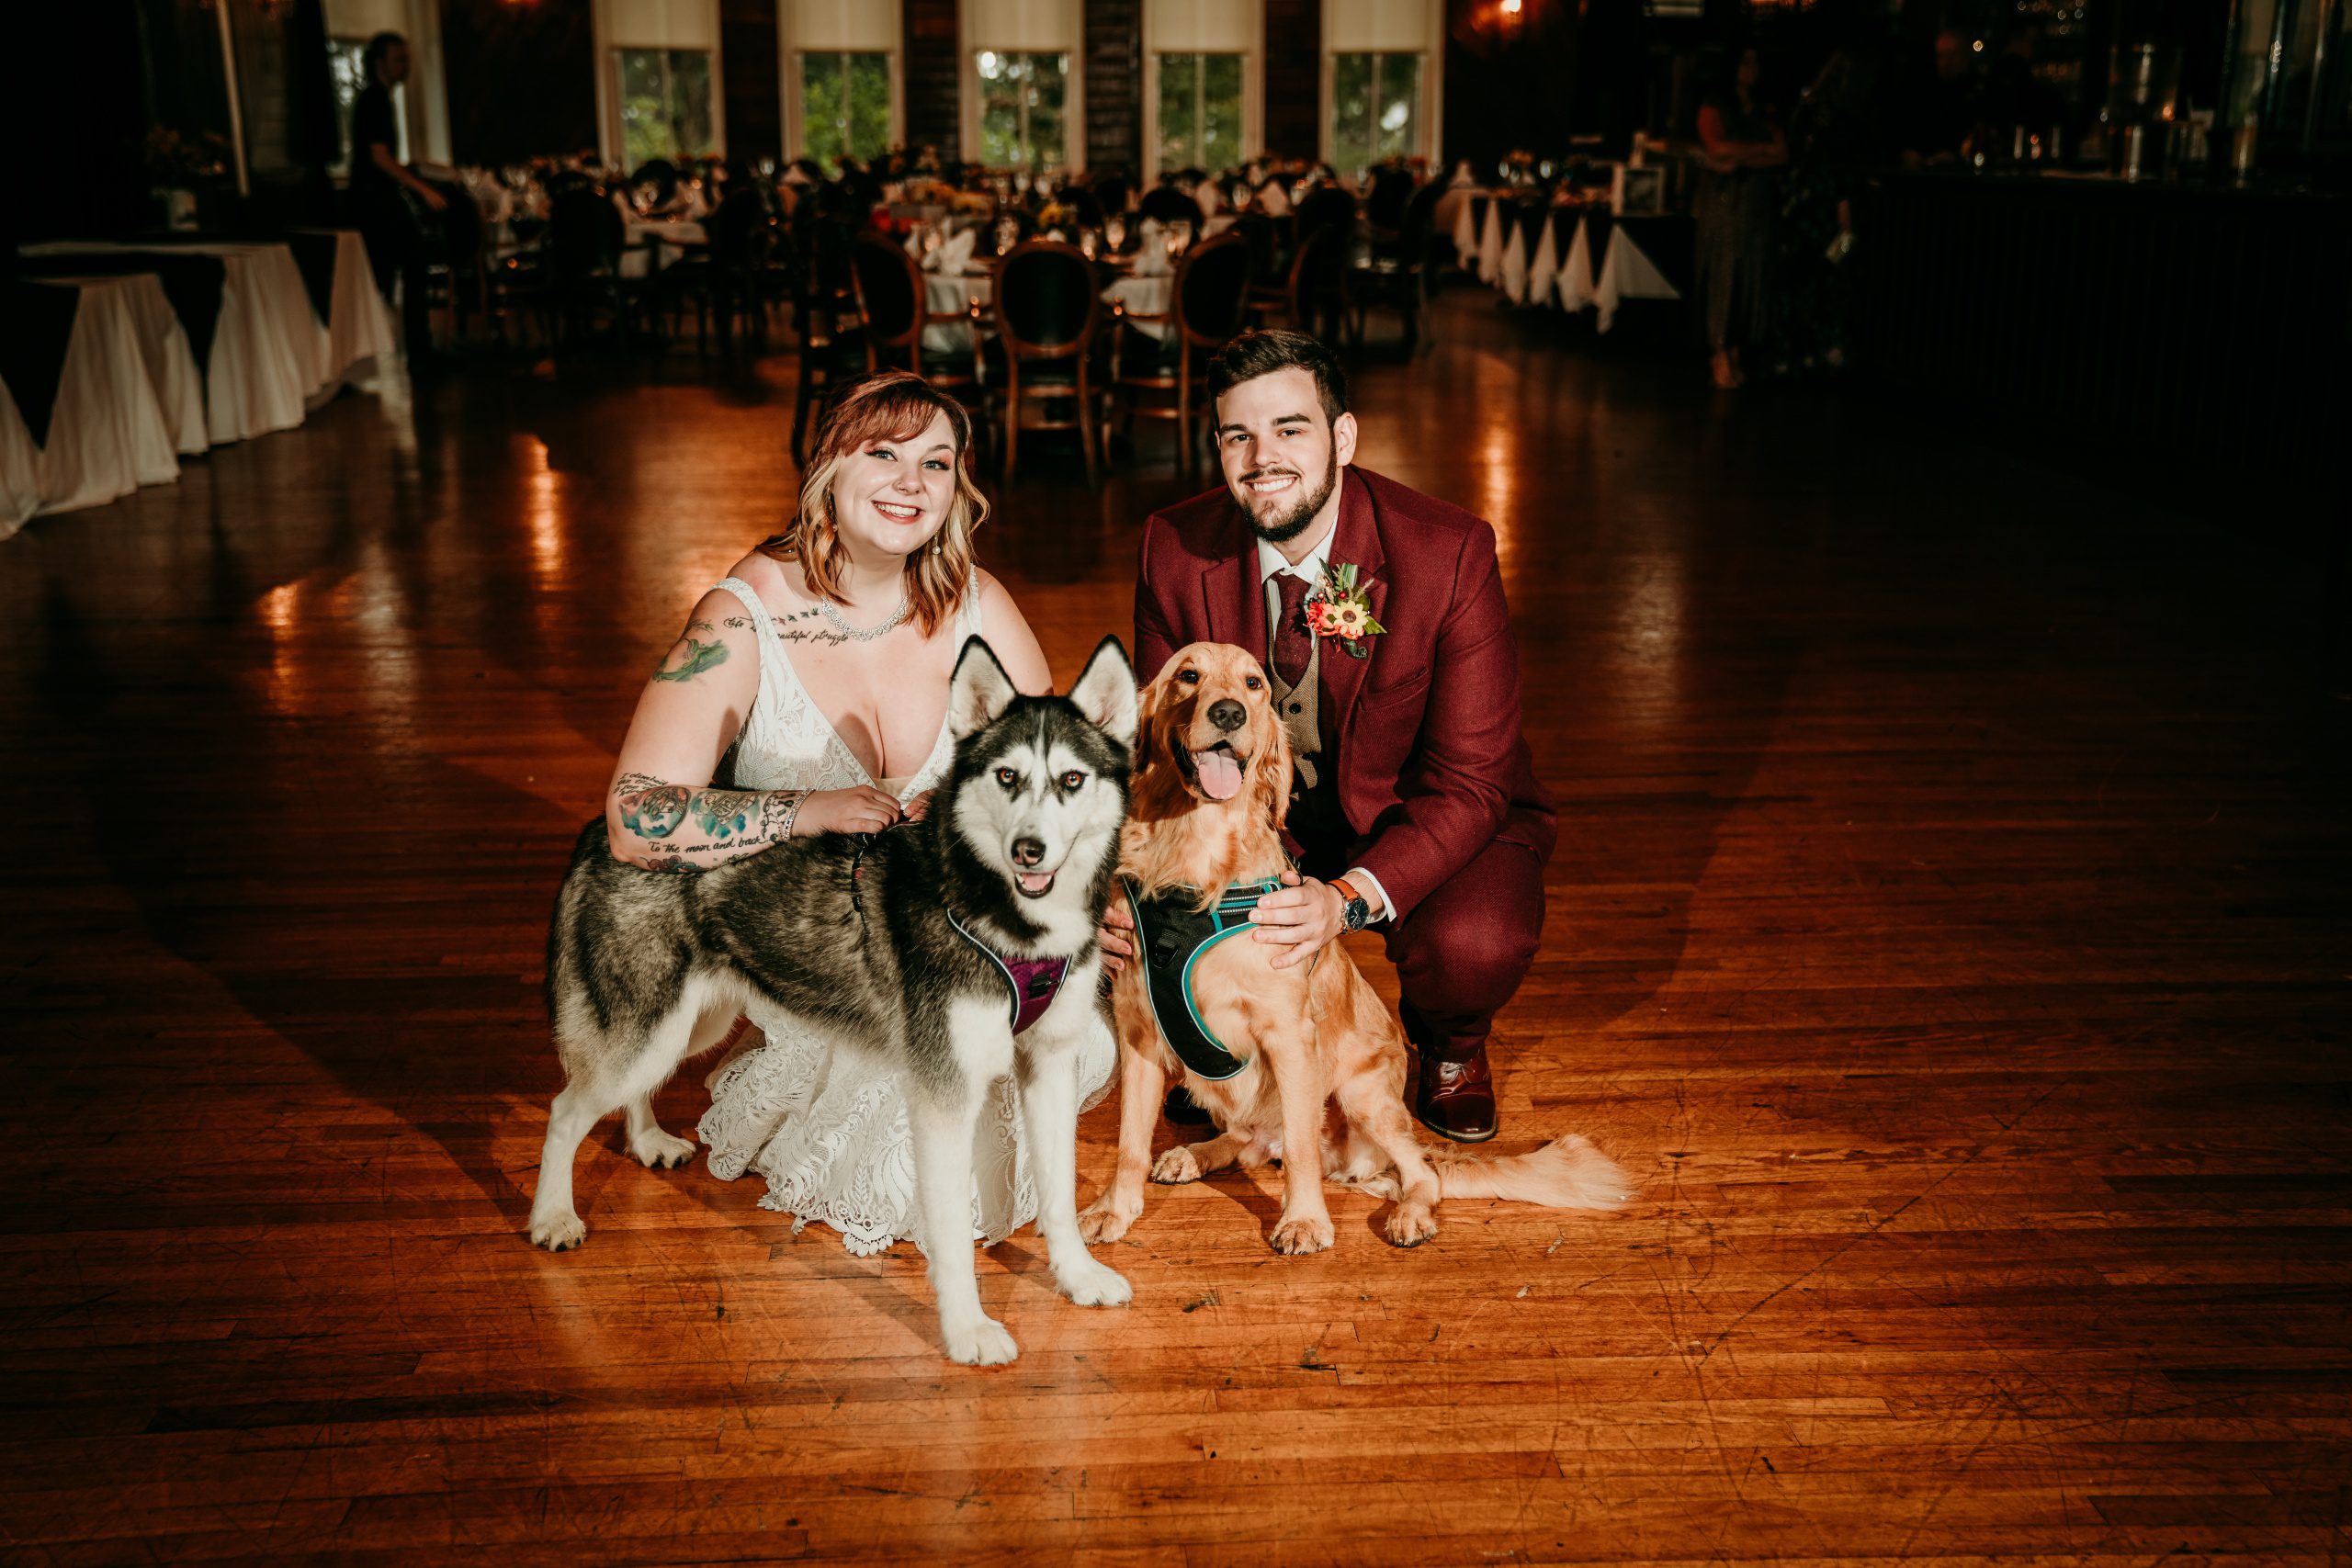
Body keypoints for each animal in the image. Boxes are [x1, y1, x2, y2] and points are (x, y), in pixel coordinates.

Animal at [530, 635, 1139, 1366]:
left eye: (1072, 781)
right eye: (1007, 777)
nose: (1029, 849)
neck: (1002, 916)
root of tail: (603, 827)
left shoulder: (1048, 1066)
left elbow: (1060, 1191)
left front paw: (1077, 1276)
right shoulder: (945, 1091)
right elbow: (951, 1235)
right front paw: (966, 1330)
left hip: (690, 1022)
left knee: (629, 1087)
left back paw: (646, 1139)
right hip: (647, 1026)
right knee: (567, 1109)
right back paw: (553, 1216)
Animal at [1077, 641, 1631, 1255]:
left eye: (1252, 684)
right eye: (1188, 675)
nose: (1228, 713)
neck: (1194, 859)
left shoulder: (1288, 1036)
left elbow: (1300, 1149)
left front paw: (1304, 1220)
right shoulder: (1140, 1033)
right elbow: (1130, 1141)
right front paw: (1114, 1209)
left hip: (1366, 1097)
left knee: (1418, 1173)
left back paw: (1410, 1215)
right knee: (1248, 1141)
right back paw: (1194, 1155)